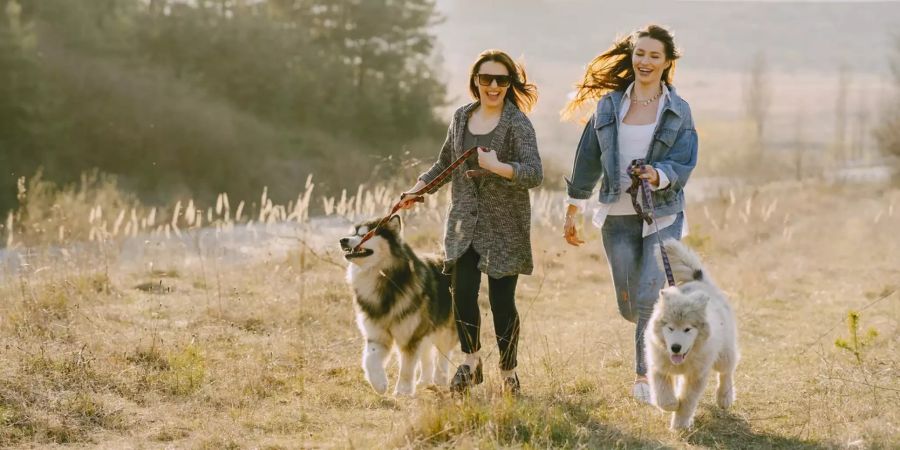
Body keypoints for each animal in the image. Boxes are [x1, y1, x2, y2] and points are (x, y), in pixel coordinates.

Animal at [648, 241, 740, 430]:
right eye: (670, 328)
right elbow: (663, 396)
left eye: (688, 329)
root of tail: (700, 281)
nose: (676, 347)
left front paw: (680, 425)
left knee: (726, 371)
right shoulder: (658, 366)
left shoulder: (697, 376)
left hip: (723, 353)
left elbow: (688, 402)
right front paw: (672, 404)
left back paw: (724, 398)